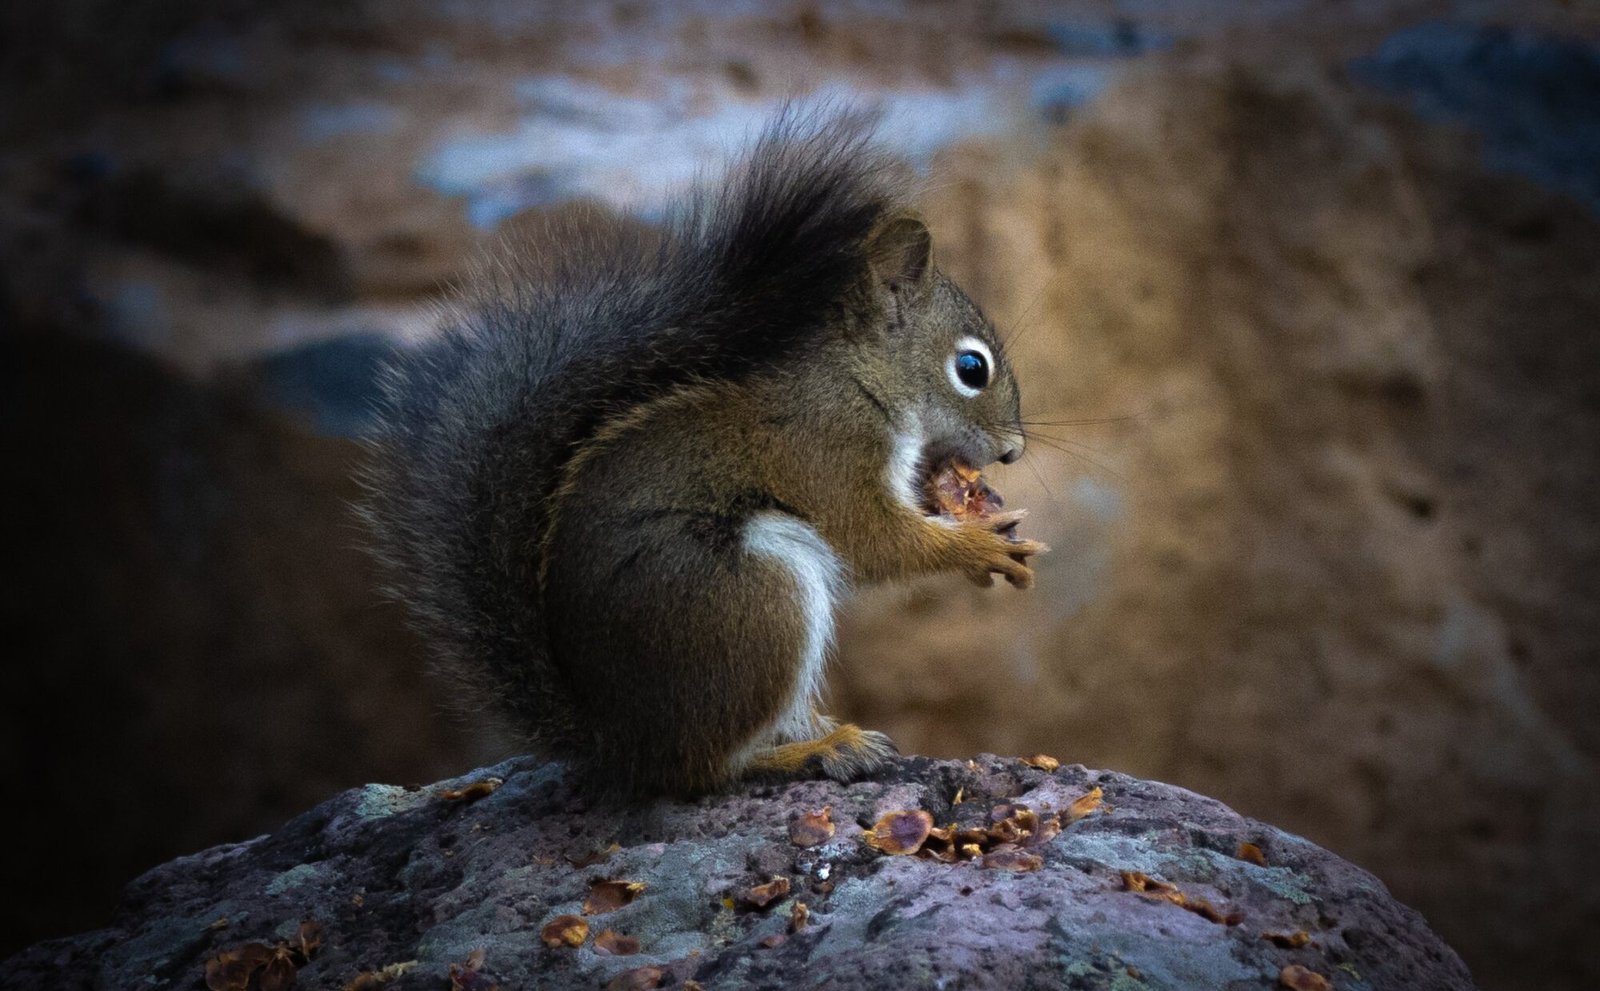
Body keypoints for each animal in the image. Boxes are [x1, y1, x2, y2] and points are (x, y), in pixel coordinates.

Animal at [360, 109, 1046, 796]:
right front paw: (979, 547)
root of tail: (618, 744)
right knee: (704, 767)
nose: (1012, 452)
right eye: (970, 368)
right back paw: (812, 752)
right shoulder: (828, 450)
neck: (858, 378)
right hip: (749, 596)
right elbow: (874, 540)